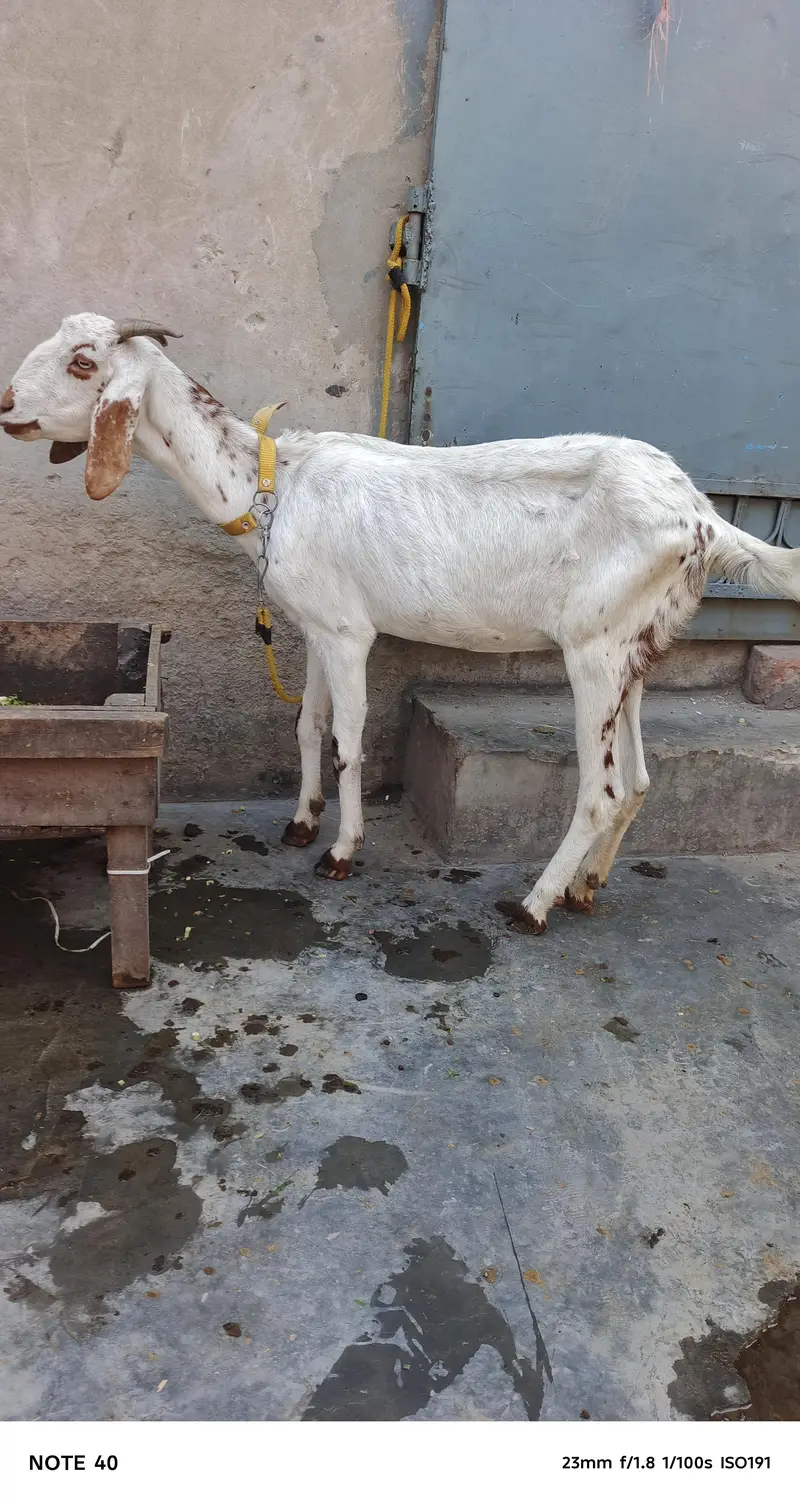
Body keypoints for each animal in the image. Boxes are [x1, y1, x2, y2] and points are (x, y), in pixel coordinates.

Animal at [3, 314, 799, 932]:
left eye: (83, 363)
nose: (7, 402)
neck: (271, 483)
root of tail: (699, 513)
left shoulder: (350, 635)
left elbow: (350, 744)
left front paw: (341, 851)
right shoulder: (317, 625)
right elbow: (308, 725)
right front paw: (301, 822)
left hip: (594, 652)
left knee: (600, 792)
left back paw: (534, 904)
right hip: (636, 646)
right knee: (635, 781)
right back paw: (586, 888)